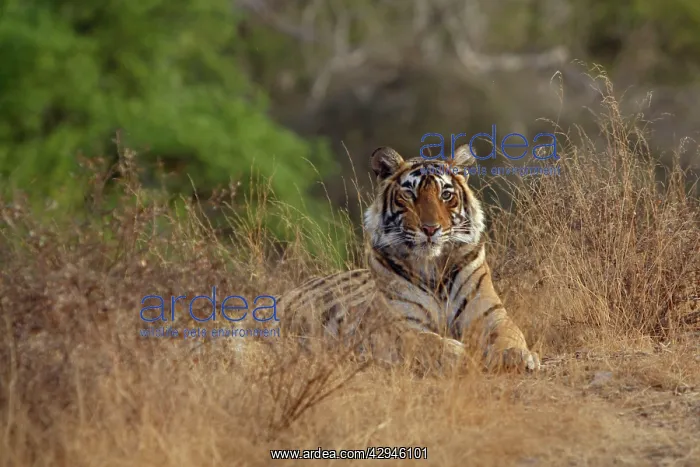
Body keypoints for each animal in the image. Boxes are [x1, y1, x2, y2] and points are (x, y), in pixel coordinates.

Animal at [278, 144, 540, 373]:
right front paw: (460, 355)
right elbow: (428, 341)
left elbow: (510, 334)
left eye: (446, 195)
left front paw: (518, 356)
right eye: (409, 194)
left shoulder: (489, 314)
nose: (430, 228)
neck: (434, 269)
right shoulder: (398, 325)